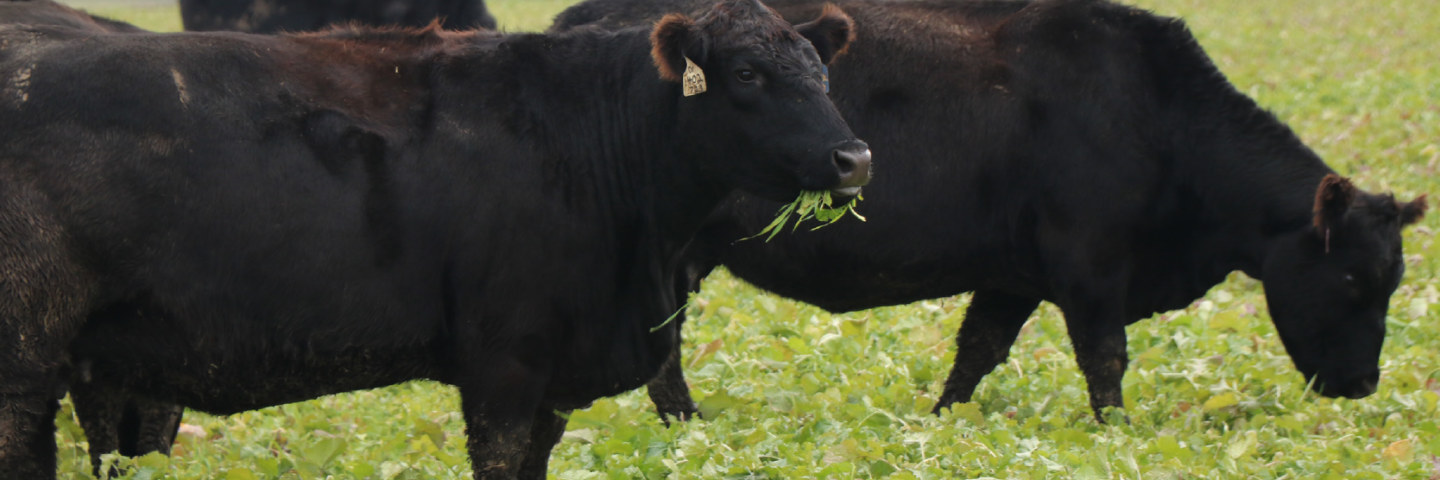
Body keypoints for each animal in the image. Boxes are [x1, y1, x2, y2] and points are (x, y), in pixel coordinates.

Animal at [0, 0, 864, 475]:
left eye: (823, 70)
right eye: (746, 74)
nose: (853, 158)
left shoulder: (553, 377)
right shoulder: (504, 363)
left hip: (107, 358)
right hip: (25, 361)